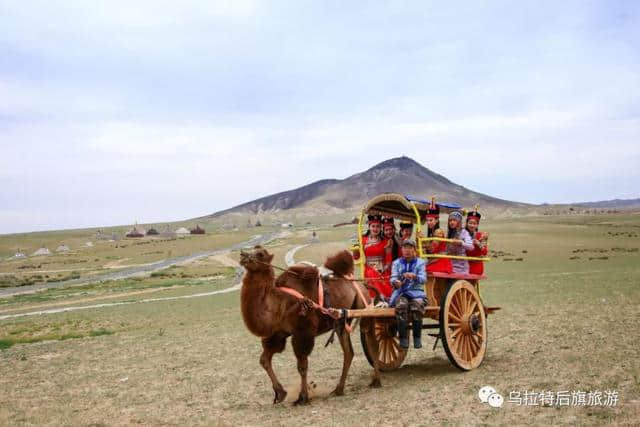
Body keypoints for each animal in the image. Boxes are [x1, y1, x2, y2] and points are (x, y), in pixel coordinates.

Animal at [239, 246, 380, 406]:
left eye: (260, 254)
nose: (243, 255)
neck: (279, 303)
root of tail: (363, 285)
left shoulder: (303, 331)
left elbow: (302, 366)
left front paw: (303, 397)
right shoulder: (278, 334)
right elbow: (264, 360)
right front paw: (280, 393)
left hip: (364, 308)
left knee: (371, 342)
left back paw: (376, 380)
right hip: (341, 322)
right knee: (348, 352)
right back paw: (338, 389)